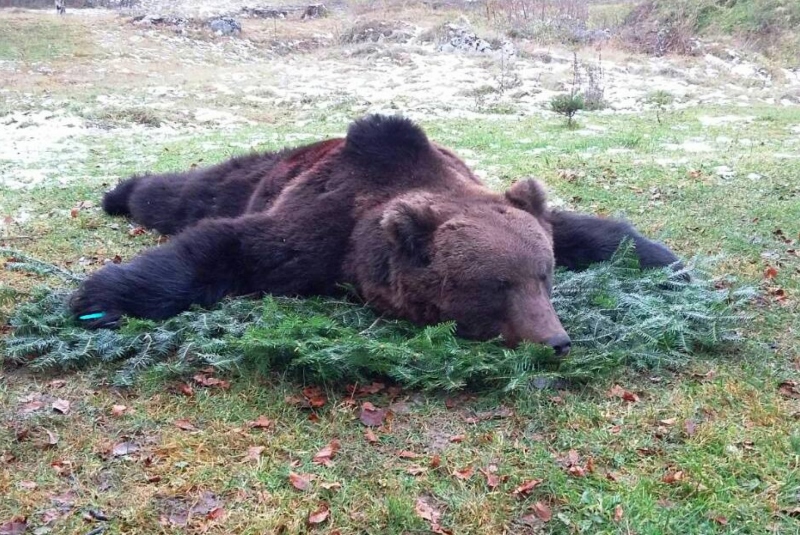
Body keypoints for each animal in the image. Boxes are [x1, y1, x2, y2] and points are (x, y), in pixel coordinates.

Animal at [70, 115, 680, 356]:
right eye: (496, 285)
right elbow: (221, 247)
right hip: (246, 179)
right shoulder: (318, 233)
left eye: (544, 276)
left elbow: (585, 229)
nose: (554, 341)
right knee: (183, 194)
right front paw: (97, 298)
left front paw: (665, 259)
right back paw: (120, 193)